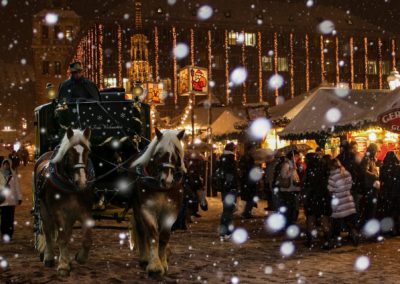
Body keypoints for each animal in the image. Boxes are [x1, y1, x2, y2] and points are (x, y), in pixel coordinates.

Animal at [33, 127, 94, 276]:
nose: (82, 182)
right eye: (69, 153)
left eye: (87, 152)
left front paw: (80, 258)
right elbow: (61, 238)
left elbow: (87, 239)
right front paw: (63, 266)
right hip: (44, 211)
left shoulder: (85, 211)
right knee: (48, 232)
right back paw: (49, 257)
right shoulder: (58, 212)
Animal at [130, 129, 186, 278]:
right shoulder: (147, 208)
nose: (166, 181)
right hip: (136, 204)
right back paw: (144, 258)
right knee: (141, 229)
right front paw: (155, 265)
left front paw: (163, 262)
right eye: (159, 153)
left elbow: (164, 236)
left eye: (177, 154)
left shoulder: (172, 210)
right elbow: (153, 233)